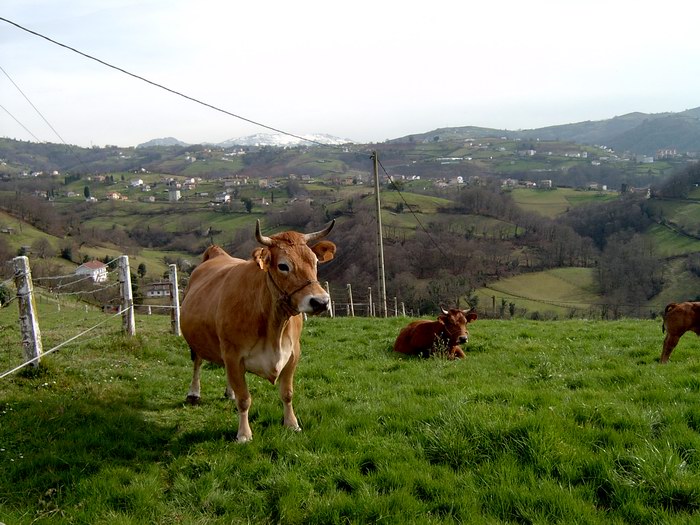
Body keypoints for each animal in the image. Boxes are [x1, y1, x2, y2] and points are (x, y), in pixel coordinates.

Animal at [179, 219, 334, 440]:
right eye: (283, 266)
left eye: (315, 262)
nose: (320, 302)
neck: (274, 327)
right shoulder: (233, 355)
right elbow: (244, 399)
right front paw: (244, 434)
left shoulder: (293, 353)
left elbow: (287, 393)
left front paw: (292, 424)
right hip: (196, 341)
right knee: (197, 363)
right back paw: (193, 393)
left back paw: (229, 392)